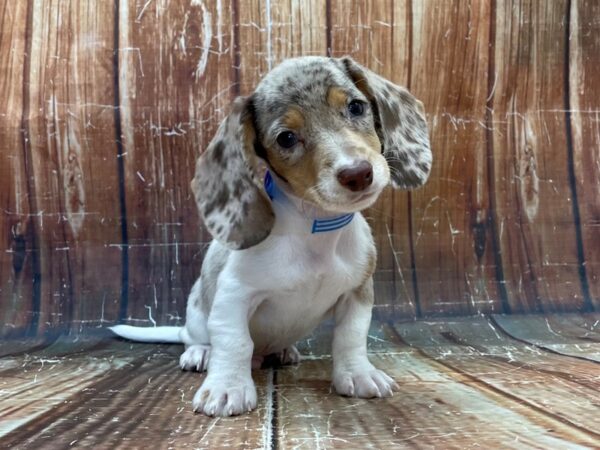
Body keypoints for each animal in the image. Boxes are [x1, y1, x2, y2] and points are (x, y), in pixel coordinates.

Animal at [111, 57, 432, 418]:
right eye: (287, 138)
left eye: (356, 106)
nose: (358, 173)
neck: (315, 228)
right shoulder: (234, 296)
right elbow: (234, 341)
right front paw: (227, 388)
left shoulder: (358, 293)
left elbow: (351, 336)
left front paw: (358, 374)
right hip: (196, 314)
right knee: (193, 336)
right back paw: (200, 353)